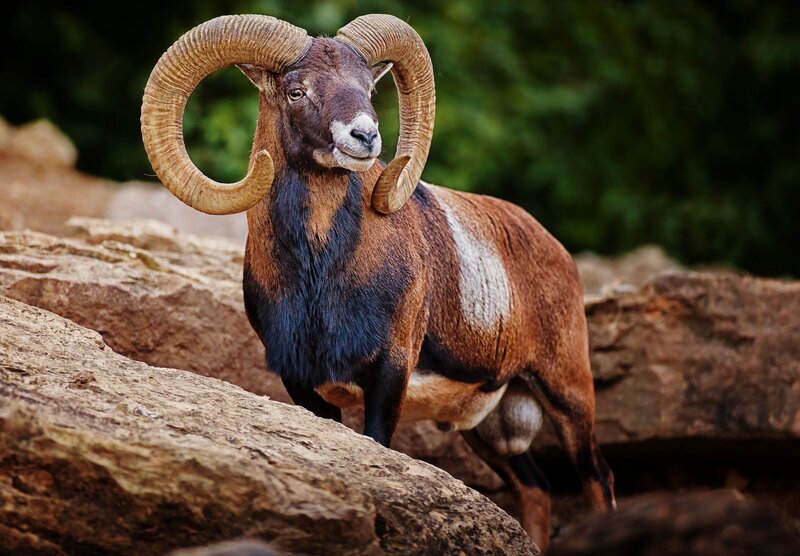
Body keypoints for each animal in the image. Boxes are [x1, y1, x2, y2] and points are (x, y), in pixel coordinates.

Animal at [141, 14, 615, 551]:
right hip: (487, 430)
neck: (318, 278)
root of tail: (557, 253)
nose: (364, 136)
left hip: (567, 395)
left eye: (368, 87)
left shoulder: (390, 371)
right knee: (535, 489)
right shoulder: (303, 384)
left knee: (597, 478)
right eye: (296, 91)